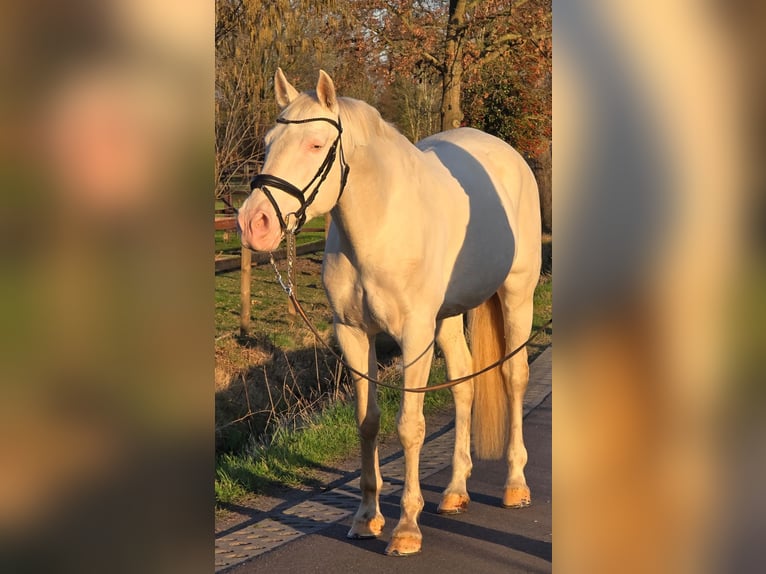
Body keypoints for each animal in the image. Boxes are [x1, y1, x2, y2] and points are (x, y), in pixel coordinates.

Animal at [238, 69, 542, 556]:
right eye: (268, 142)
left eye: (316, 145)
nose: (254, 223)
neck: (379, 227)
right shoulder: (353, 334)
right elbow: (368, 423)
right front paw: (366, 518)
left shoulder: (414, 336)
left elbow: (409, 427)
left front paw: (406, 528)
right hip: (448, 317)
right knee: (464, 383)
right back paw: (455, 490)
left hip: (517, 295)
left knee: (514, 377)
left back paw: (515, 484)